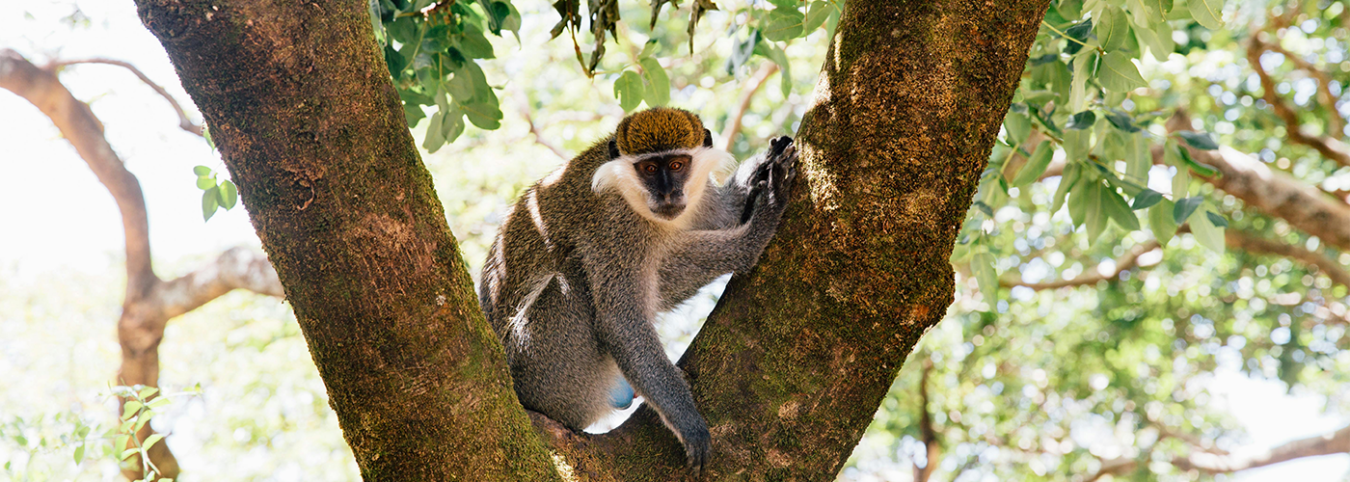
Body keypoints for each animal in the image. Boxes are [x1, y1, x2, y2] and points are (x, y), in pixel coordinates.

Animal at [478, 107, 796, 472]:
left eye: (677, 165)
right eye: (649, 169)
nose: (667, 194)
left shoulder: (698, 199)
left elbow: (723, 219)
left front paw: (761, 166)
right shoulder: (616, 225)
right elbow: (622, 322)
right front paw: (759, 226)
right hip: (545, 371)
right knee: (574, 275)